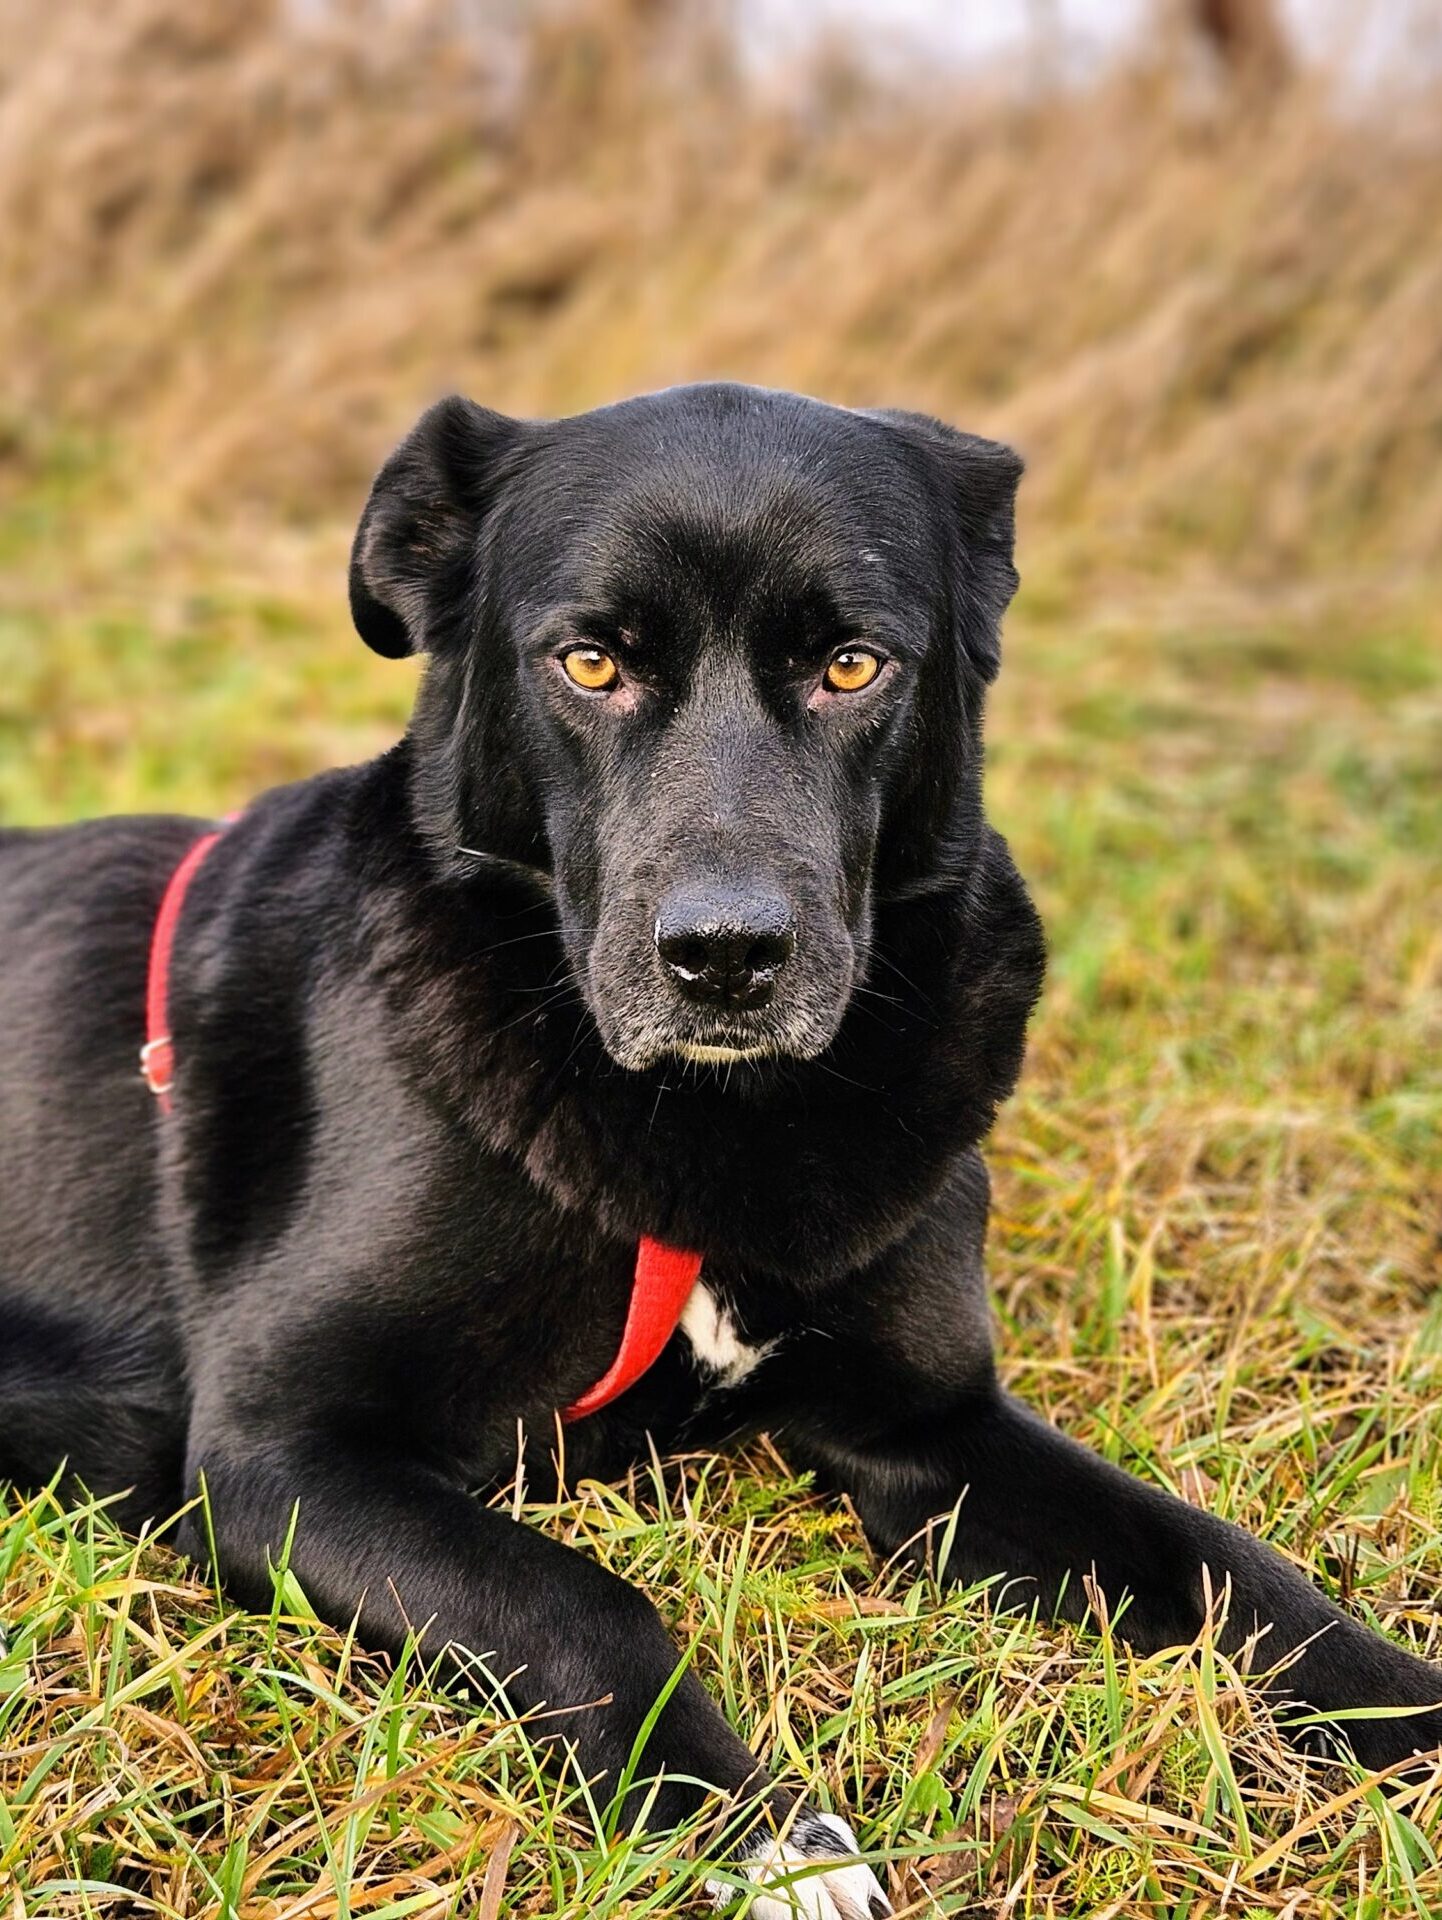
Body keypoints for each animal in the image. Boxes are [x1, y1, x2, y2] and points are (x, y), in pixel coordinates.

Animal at [0, 382, 1436, 1912]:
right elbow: (582, 1598)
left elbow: (1221, 1562)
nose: (725, 957)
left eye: (853, 667)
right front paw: (765, 1839)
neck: (705, 1121)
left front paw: (1406, 1717)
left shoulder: (931, 1428)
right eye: (589, 663)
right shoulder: (279, 1451)